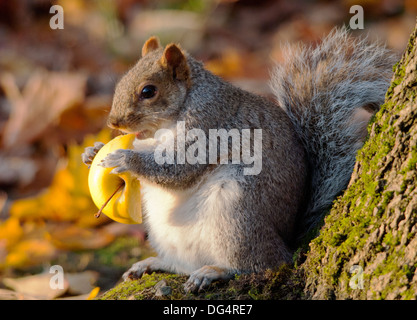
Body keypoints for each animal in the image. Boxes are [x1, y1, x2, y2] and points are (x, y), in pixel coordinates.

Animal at [82, 28, 396, 292]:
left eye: (148, 91)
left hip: (237, 214)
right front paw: (92, 152)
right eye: (121, 80)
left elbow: (178, 168)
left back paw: (214, 272)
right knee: (183, 264)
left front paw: (125, 158)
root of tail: (286, 242)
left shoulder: (207, 127)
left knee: (260, 265)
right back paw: (153, 263)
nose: (113, 122)